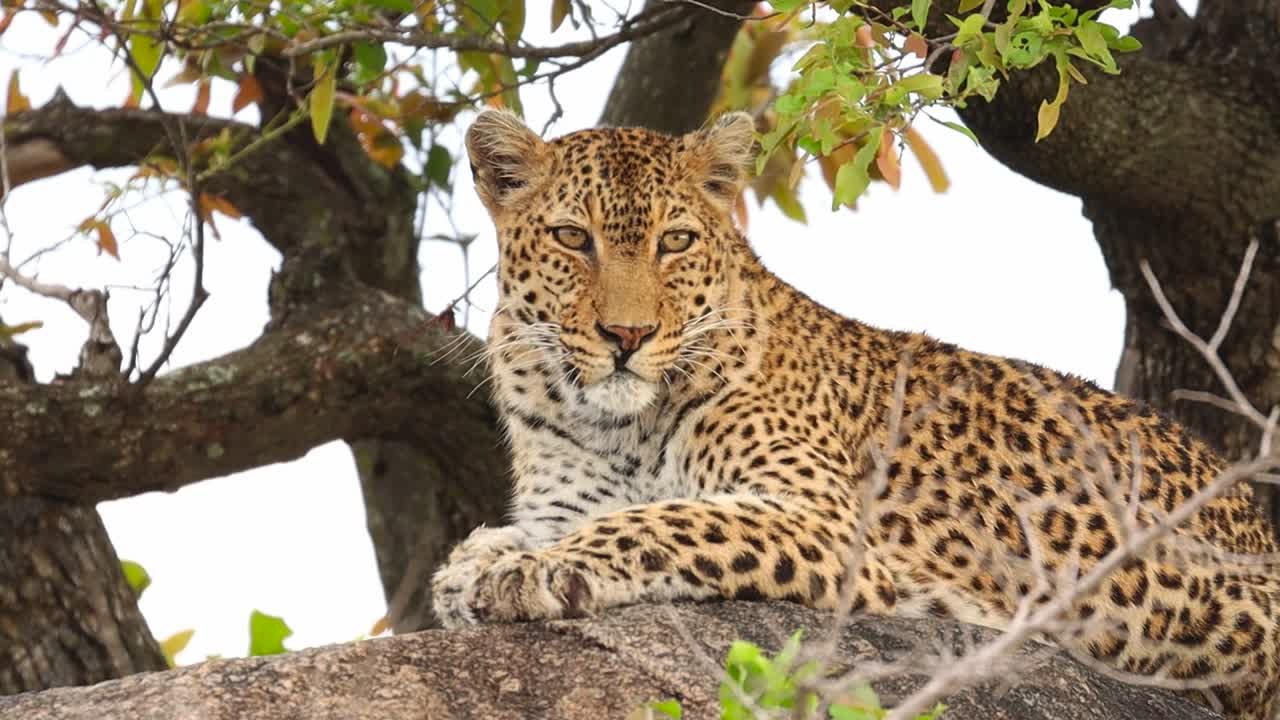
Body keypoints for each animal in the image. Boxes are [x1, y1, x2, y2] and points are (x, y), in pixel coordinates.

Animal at [431, 109, 1280, 719]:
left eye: (674, 242)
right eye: (573, 238)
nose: (627, 336)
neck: (613, 423)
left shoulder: (828, 518)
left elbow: (665, 519)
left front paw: (530, 571)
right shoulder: (564, 496)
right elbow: (544, 528)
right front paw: (475, 563)